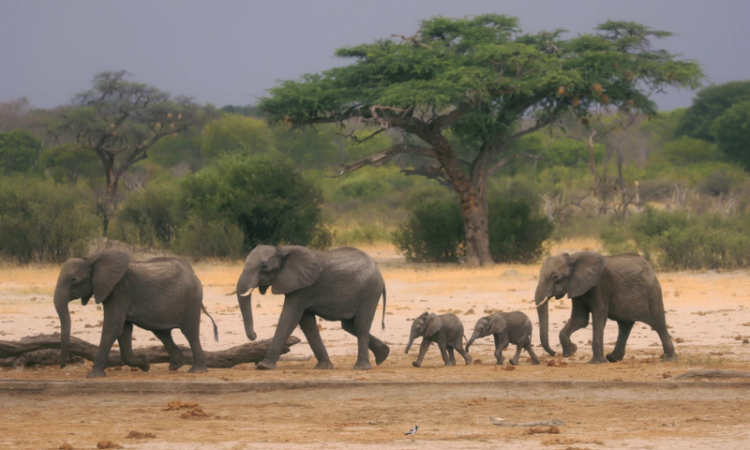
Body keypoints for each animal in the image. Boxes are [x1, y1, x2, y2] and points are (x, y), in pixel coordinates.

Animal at [52, 251, 217, 378]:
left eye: (73, 279)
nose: (62, 366)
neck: (92, 260)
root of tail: (193, 273)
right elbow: (123, 330)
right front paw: (145, 363)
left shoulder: (119, 290)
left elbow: (112, 327)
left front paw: (93, 375)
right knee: (162, 332)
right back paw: (175, 366)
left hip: (191, 299)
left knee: (190, 333)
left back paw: (197, 370)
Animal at [234, 246, 388, 370]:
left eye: (264, 266)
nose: (254, 335)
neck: (282, 250)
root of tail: (378, 271)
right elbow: (307, 323)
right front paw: (323, 367)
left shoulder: (304, 288)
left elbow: (289, 317)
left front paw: (264, 366)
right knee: (349, 326)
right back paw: (383, 355)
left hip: (370, 291)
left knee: (360, 325)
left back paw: (361, 367)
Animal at [536, 251, 676, 364]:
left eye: (555, 277)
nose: (554, 353)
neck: (573, 258)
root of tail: (649, 266)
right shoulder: (577, 287)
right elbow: (580, 319)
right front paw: (570, 352)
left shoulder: (600, 285)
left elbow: (598, 316)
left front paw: (595, 362)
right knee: (625, 325)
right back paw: (612, 358)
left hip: (652, 292)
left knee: (658, 324)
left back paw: (669, 359)